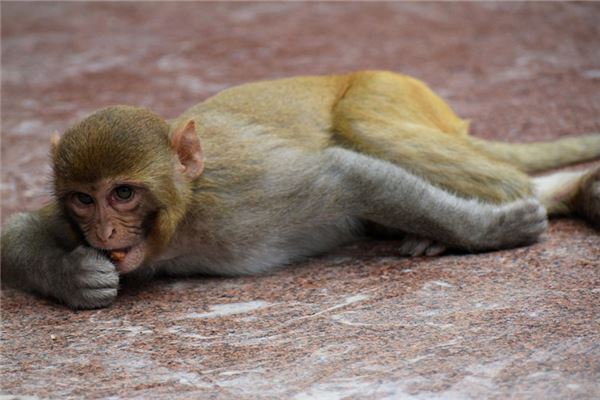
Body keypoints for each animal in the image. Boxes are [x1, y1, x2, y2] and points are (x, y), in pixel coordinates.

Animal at [3, 70, 600, 310]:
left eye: (123, 194)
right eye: (84, 199)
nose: (104, 231)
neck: (184, 216)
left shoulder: (240, 195)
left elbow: (343, 174)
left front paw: (490, 232)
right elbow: (17, 229)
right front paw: (77, 278)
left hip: (389, 89)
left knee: (364, 126)